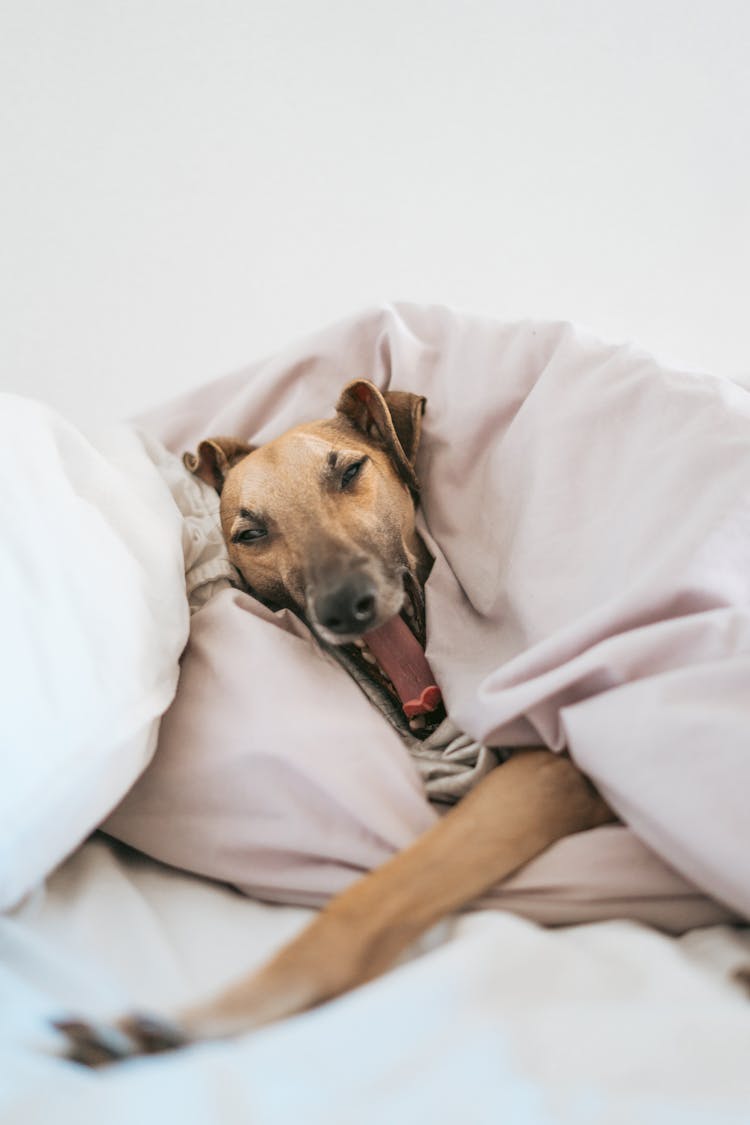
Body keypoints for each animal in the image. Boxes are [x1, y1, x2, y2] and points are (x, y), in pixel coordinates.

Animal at [54, 378, 616, 1062]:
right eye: (249, 532)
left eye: (350, 470)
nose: (346, 606)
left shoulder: (555, 774)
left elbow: (362, 905)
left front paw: (205, 1016)